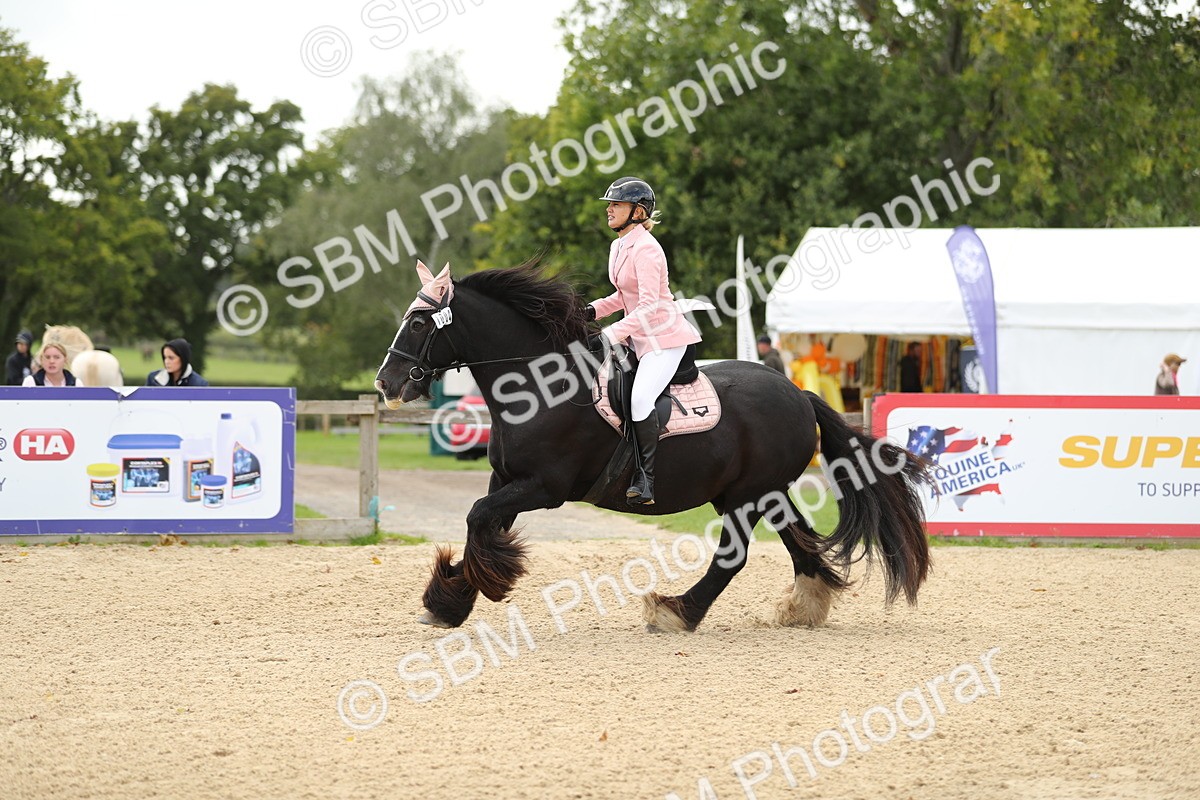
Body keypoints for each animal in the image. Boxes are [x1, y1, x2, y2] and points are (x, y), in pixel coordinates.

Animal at [374, 260, 932, 633]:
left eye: (419, 323)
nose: (385, 382)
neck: (538, 386)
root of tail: (798, 393)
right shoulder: (509, 480)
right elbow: (483, 523)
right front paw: (449, 602)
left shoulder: (542, 487)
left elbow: (477, 517)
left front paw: (474, 589)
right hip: (763, 493)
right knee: (801, 542)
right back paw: (803, 607)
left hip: (746, 497)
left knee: (734, 556)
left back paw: (676, 611)